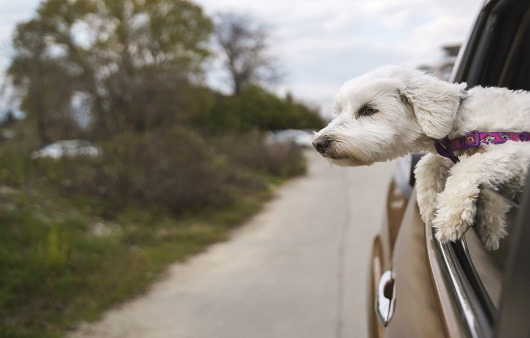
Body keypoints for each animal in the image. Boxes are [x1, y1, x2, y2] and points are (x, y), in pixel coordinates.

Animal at [312, 66, 528, 251]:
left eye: (368, 110)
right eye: (339, 111)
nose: (317, 143)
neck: (461, 118)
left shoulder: (517, 151)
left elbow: (469, 166)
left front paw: (451, 215)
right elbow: (427, 164)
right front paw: (429, 206)